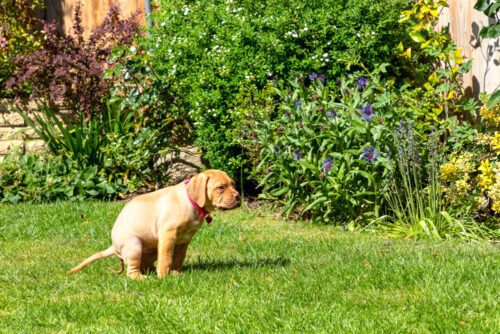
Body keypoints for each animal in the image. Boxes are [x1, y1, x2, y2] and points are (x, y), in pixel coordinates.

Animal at [68, 170, 240, 280]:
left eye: (233, 184)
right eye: (221, 187)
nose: (238, 196)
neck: (191, 202)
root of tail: (114, 246)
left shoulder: (184, 240)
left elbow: (178, 258)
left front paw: (175, 273)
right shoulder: (168, 234)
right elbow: (166, 258)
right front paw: (164, 276)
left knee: (144, 264)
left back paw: (150, 271)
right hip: (134, 245)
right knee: (131, 270)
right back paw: (142, 277)